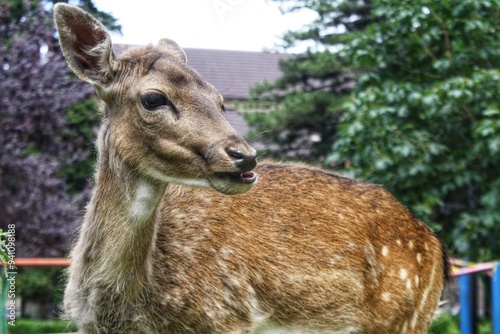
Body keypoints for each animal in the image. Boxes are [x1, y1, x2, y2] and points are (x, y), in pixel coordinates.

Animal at [53, 3, 450, 334]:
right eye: (153, 98)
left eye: (219, 100)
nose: (245, 156)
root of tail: (435, 246)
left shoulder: (226, 317)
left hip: (401, 317)